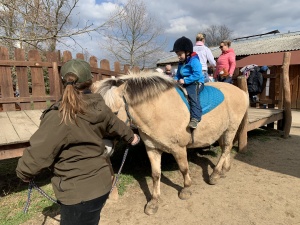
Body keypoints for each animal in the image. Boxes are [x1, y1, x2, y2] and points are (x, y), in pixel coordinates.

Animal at [91, 73, 248, 215]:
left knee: (226, 148)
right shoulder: (152, 149)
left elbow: (184, 169)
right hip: (222, 130)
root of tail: (241, 92)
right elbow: (155, 175)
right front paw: (154, 202)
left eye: (115, 113)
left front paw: (186, 189)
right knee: (225, 148)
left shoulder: (179, 148)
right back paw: (224, 170)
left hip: (231, 128)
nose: (105, 147)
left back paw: (215, 174)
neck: (158, 111)